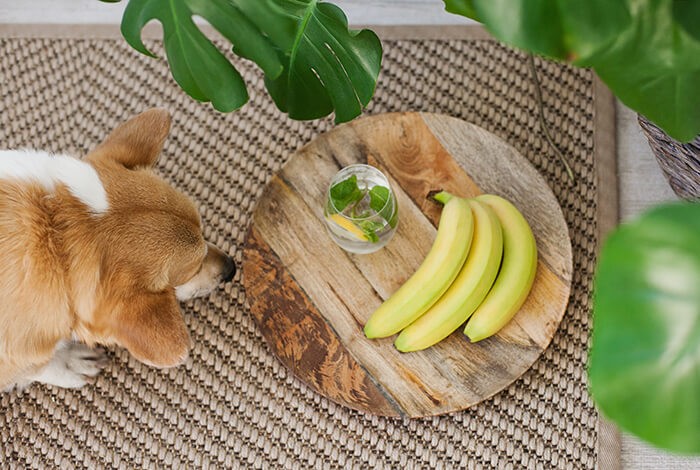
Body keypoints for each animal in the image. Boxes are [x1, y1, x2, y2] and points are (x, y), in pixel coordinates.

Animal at [0, 109, 235, 390]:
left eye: (202, 229)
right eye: (193, 269)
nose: (232, 268)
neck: (56, 230)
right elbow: (39, 366)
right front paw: (69, 363)